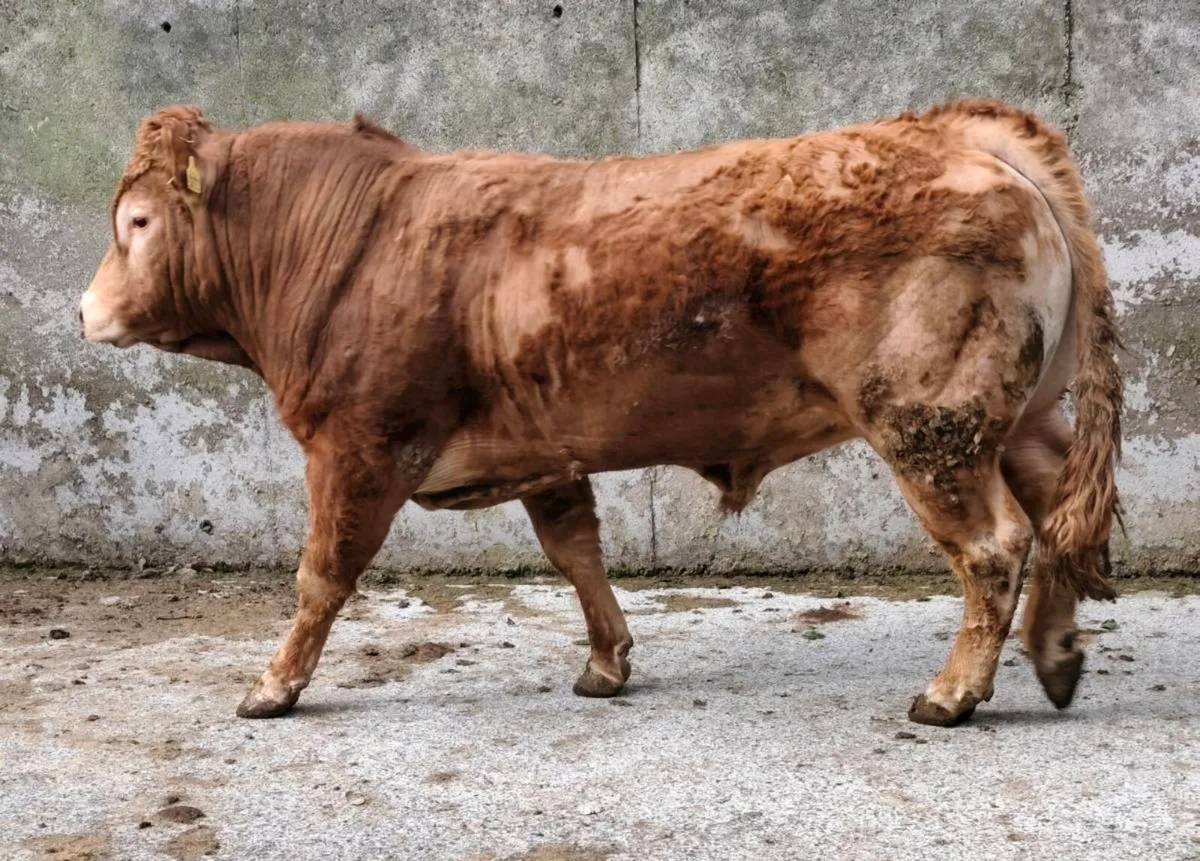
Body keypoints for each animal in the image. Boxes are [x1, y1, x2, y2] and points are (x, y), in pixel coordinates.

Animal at [79, 99, 1122, 727]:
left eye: (137, 223)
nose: (84, 310)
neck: (353, 239)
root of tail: (959, 131)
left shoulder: (359, 448)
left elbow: (320, 576)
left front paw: (272, 685)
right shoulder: (547, 452)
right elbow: (576, 551)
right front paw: (608, 662)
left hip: (929, 424)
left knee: (993, 544)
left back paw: (953, 692)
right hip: (1017, 418)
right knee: (1057, 517)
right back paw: (1055, 654)